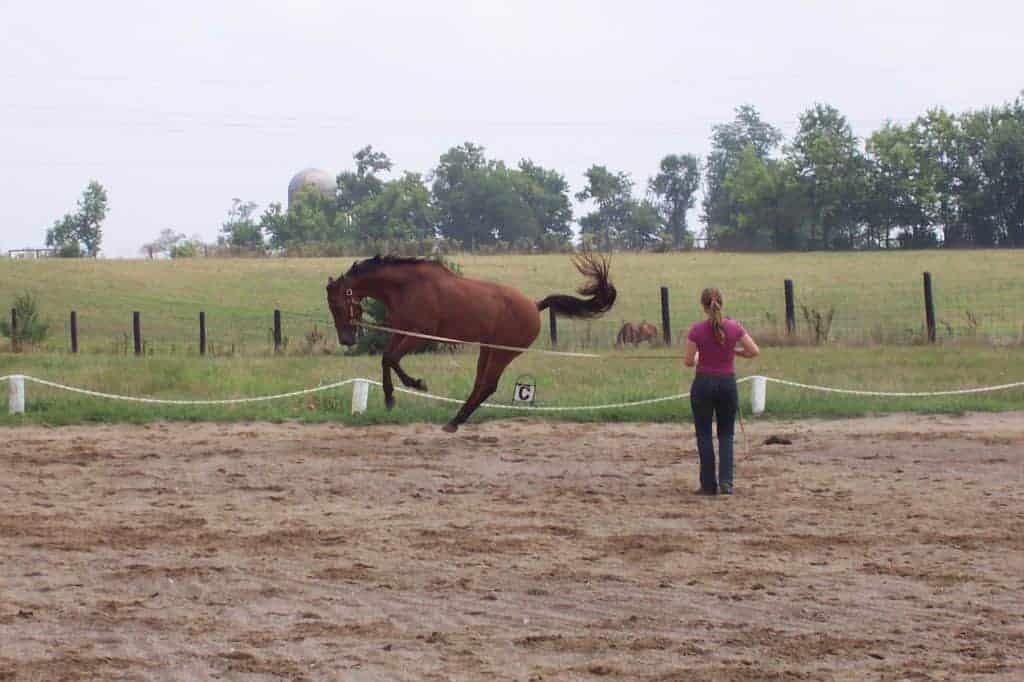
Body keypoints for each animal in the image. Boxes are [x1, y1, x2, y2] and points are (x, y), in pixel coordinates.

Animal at [326, 253, 616, 432]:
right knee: (480, 385)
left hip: (501, 353)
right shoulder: (402, 331)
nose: (346, 339)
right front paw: (391, 396)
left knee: (487, 385)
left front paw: (414, 385)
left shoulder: (420, 334)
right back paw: (455, 420)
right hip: (487, 350)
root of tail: (534, 306)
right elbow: (386, 358)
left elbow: (391, 358)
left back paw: (455, 421)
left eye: (338, 305)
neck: (407, 286)